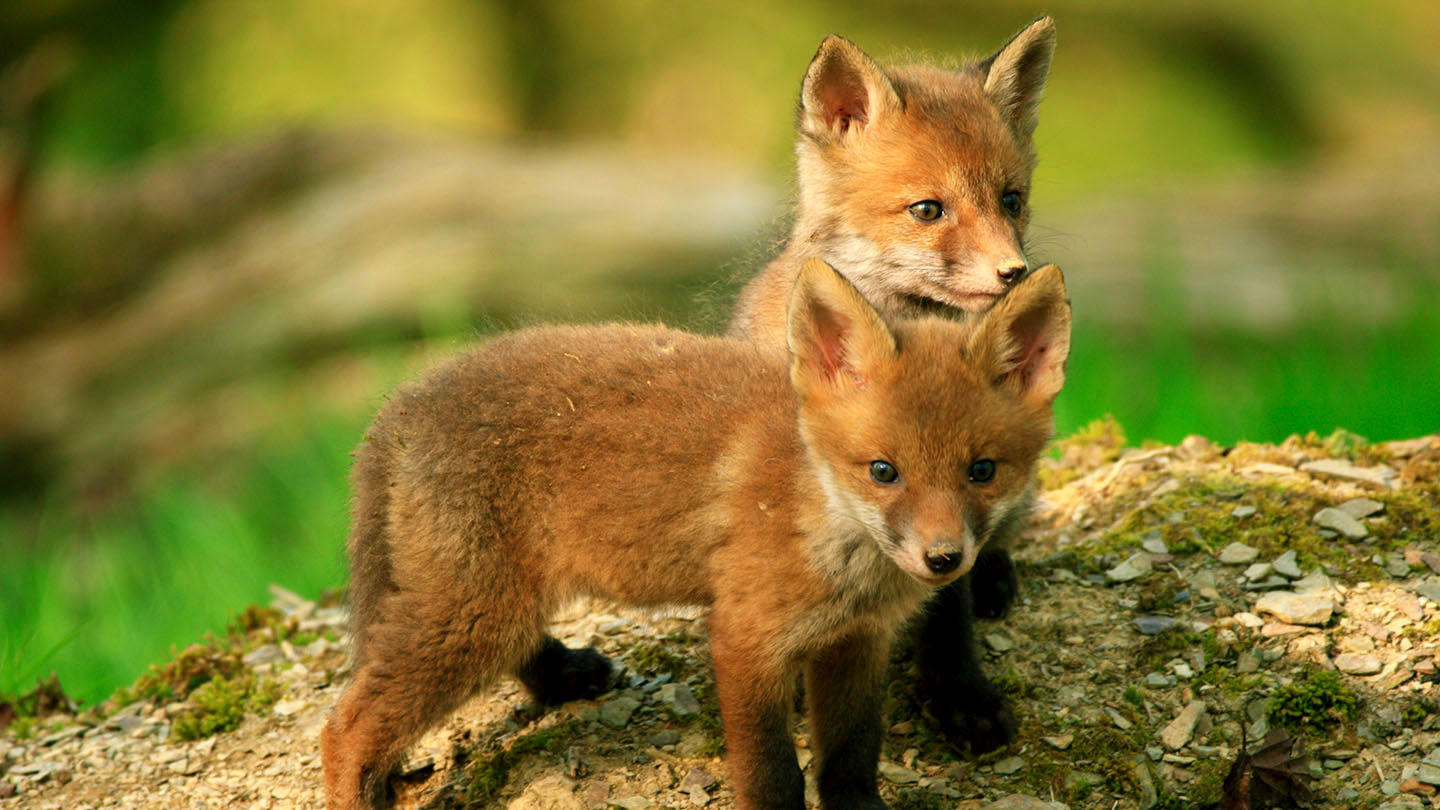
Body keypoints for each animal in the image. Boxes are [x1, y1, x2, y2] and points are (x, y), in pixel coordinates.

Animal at [321, 259, 1071, 810]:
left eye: (982, 471)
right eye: (884, 471)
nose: (944, 560)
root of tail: (403, 400)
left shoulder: (855, 642)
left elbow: (851, 756)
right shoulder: (746, 640)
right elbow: (773, 775)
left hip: (496, 601)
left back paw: (566, 675)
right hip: (472, 613)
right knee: (345, 730)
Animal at [727, 18, 1058, 752]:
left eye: (1011, 199)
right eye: (928, 209)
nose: (1014, 273)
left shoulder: (949, 500)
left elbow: (947, 604)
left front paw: (959, 691)